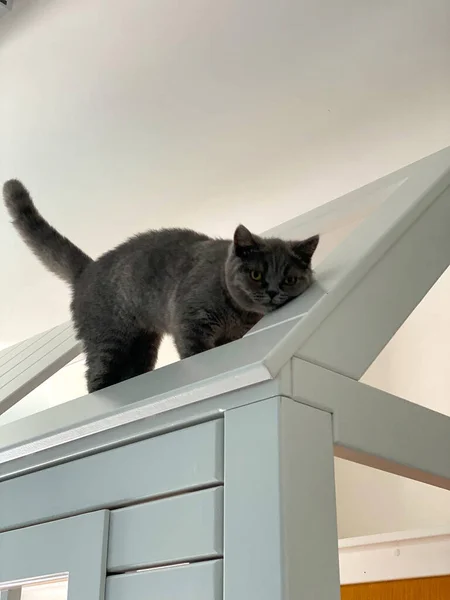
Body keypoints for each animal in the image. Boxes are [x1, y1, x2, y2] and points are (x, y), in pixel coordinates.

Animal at [3, 178, 320, 394]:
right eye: (256, 274)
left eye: (290, 279)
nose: (272, 291)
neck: (238, 315)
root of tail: (88, 268)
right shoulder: (190, 322)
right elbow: (195, 352)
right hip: (108, 339)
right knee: (95, 376)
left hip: (143, 345)